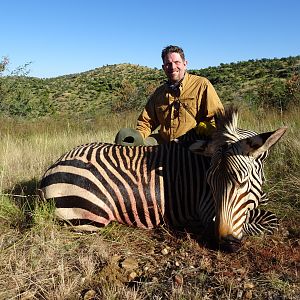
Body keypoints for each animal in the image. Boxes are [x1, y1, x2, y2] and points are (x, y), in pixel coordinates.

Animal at [39, 106, 286, 252]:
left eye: (242, 182)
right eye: (209, 184)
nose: (226, 242)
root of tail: (50, 170)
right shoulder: (208, 210)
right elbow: (270, 220)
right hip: (92, 217)